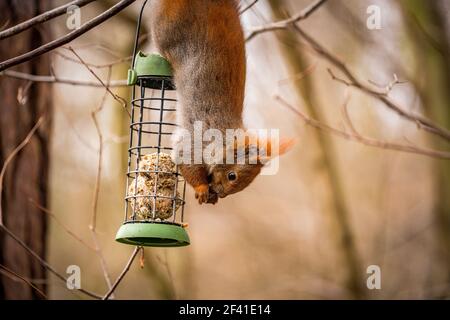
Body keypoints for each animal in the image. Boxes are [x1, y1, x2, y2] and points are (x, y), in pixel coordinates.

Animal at [149, 0, 294, 205]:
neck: (224, 139)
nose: (223, 194)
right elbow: (186, 160)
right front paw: (202, 188)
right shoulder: (196, 140)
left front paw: (212, 196)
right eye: (232, 176)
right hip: (166, 29)